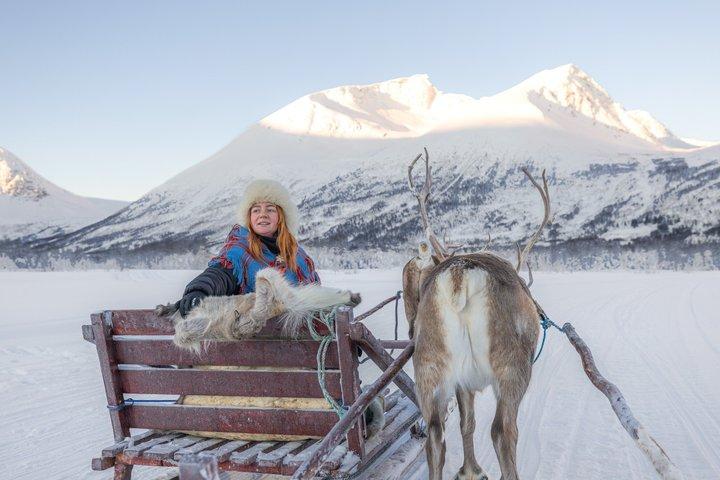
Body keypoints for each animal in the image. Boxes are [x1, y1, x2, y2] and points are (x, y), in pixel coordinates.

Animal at [402, 149, 550, 480]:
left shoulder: (462, 382)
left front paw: (470, 470)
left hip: (428, 364)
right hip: (511, 366)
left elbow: (466, 423)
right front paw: (472, 470)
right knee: (503, 431)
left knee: (434, 432)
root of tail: (459, 274)